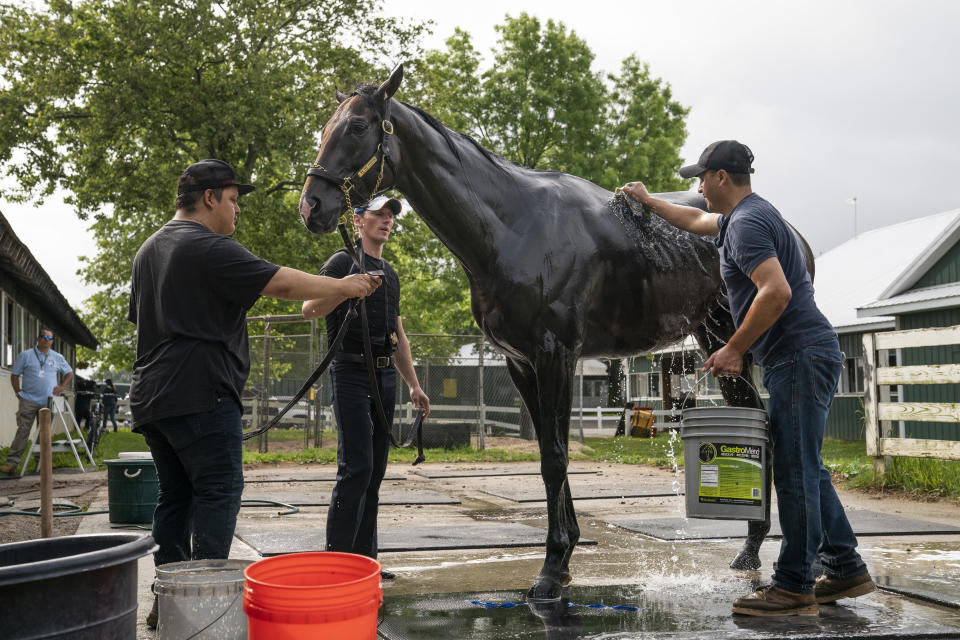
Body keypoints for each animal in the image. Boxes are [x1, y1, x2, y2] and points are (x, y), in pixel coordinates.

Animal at [298, 66, 808, 600]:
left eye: (357, 127)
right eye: (326, 128)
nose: (311, 206)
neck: (512, 227)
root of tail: (788, 230)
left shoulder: (554, 356)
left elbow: (556, 459)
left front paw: (550, 568)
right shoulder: (521, 363)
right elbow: (547, 451)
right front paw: (563, 559)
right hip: (721, 345)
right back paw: (749, 549)